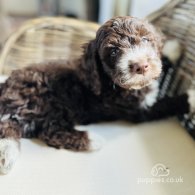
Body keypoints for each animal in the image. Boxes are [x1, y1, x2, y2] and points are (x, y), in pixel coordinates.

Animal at [0, 16, 195, 173]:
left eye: (146, 39)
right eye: (114, 52)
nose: (141, 66)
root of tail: (6, 90)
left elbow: (161, 71)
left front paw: (172, 49)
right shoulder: (139, 112)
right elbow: (165, 104)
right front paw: (191, 97)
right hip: (49, 102)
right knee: (51, 131)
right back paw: (93, 140)